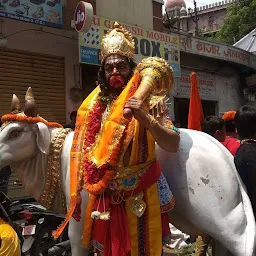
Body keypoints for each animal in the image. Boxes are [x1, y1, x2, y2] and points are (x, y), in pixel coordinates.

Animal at [0, 91, 255, 255]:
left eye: (15, 133)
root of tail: (223, 152)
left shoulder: (79, 219)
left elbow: (78, 245)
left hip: (220, 215)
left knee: (243, 244)